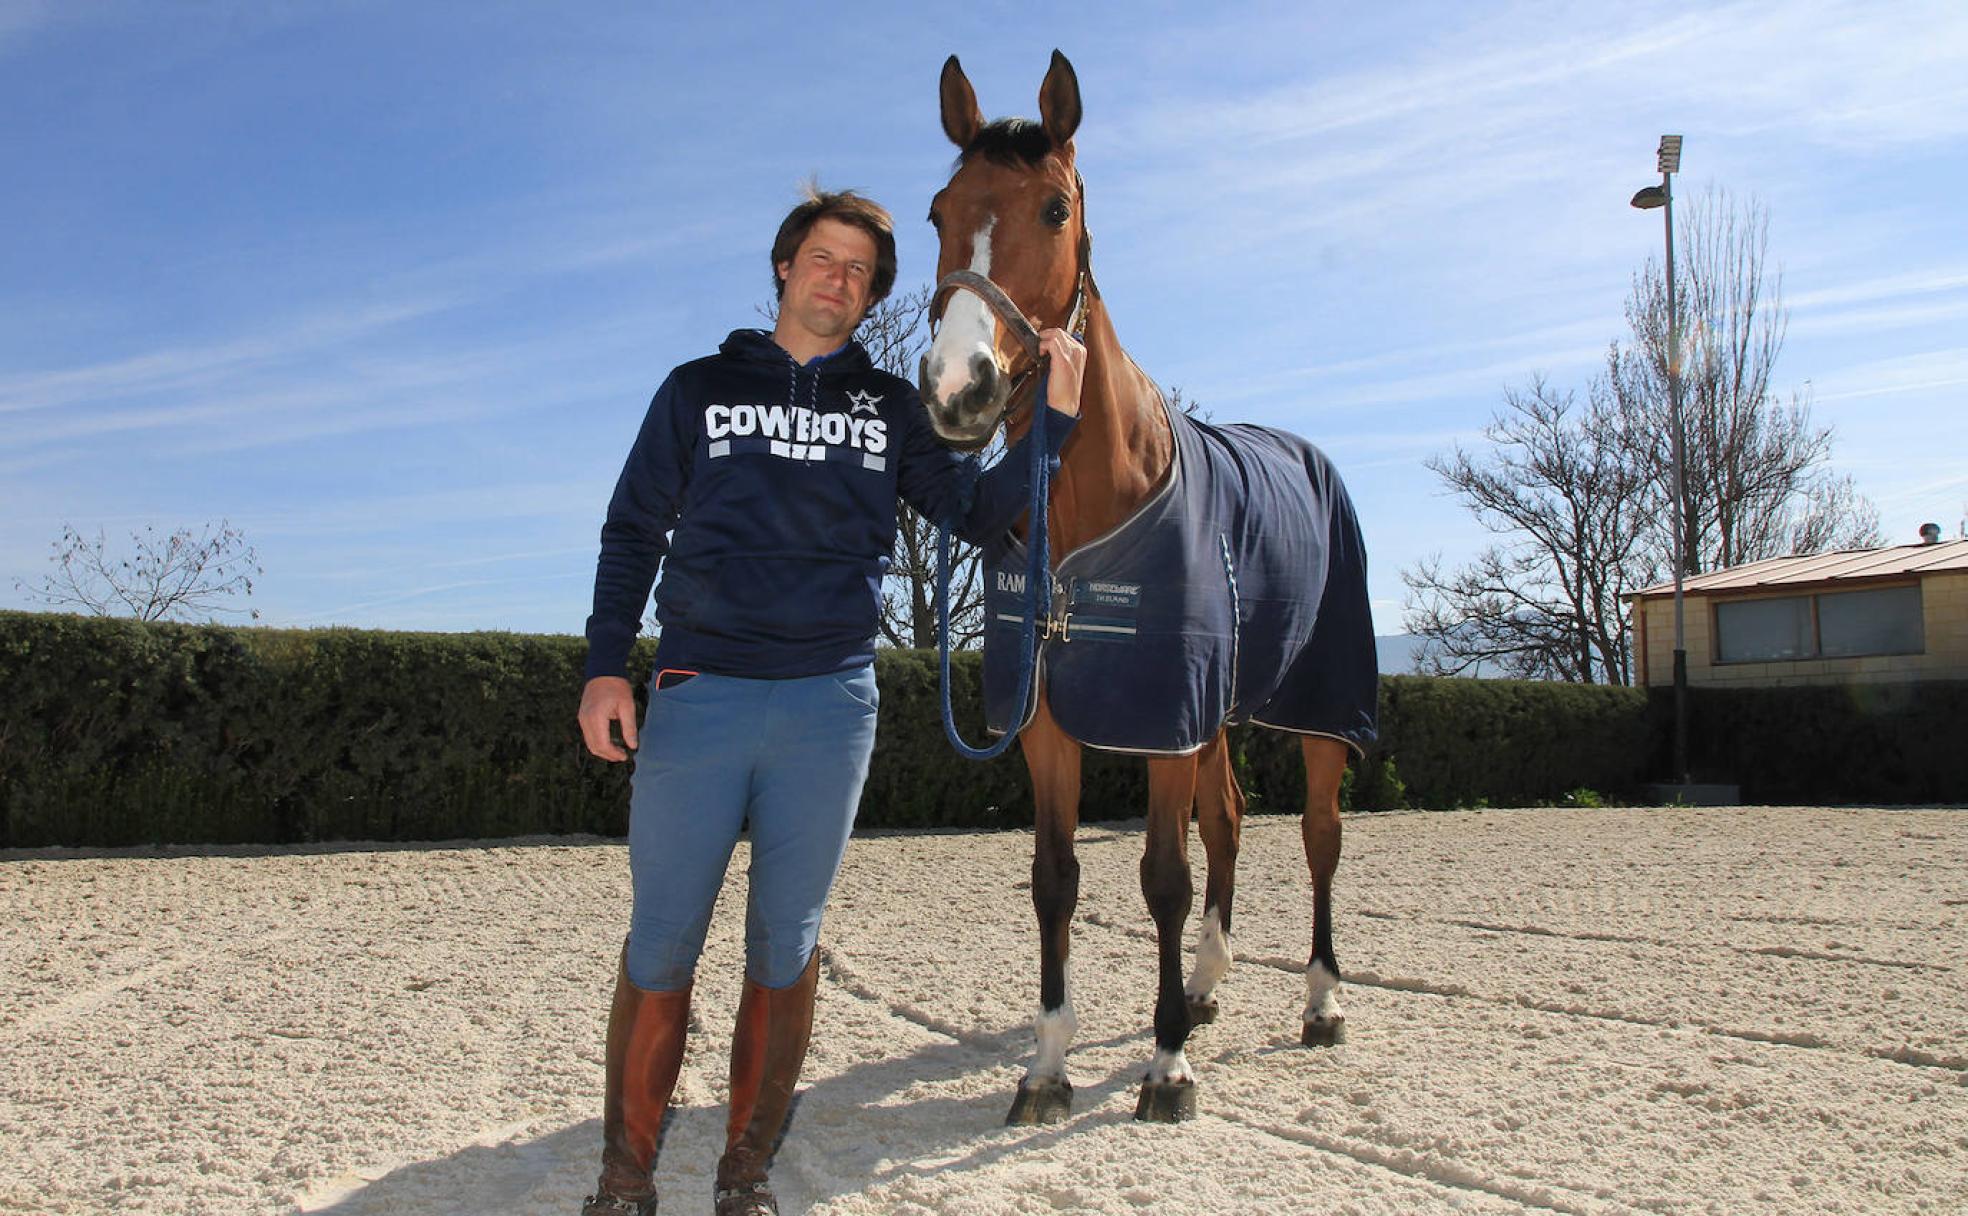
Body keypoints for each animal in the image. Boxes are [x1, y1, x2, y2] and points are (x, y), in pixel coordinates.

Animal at [924, 52, 1377, 1125]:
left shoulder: (1164, 720)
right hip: (1215, 715)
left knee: (1320, 838)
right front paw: (1048, 1066)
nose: (956, 388)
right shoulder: (1052, 721)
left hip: (1319, 712)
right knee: (1232, 821)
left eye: (1054, 208)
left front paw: (1166, 1067)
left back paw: (1320, 1002)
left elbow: (1163, 877)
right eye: (937, 212)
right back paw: (1207, 986)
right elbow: (1055, 878)